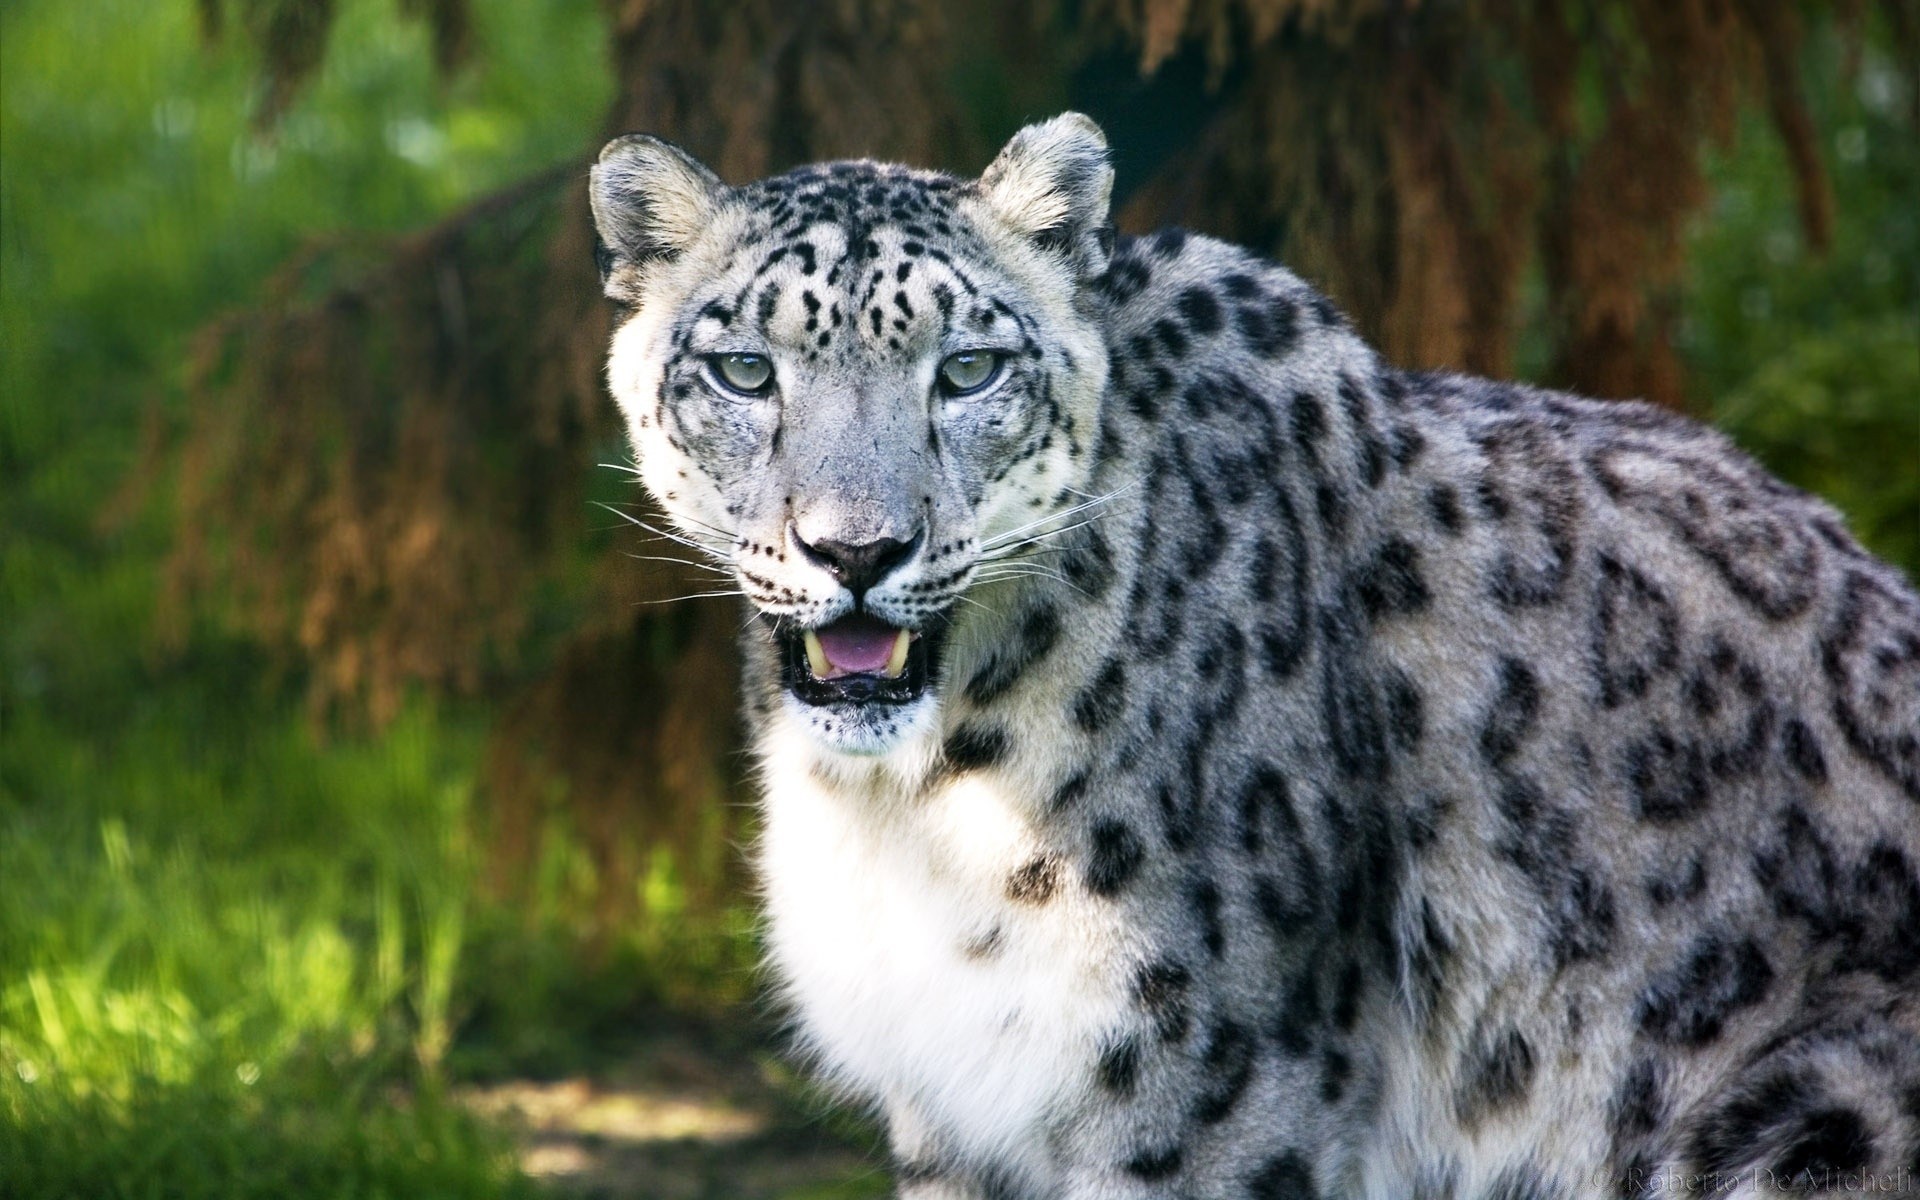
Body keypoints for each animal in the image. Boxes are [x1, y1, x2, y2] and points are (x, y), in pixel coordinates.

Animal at [583, 114, 1920, 1198]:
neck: (909, 812)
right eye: (744, 370)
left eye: (967, 369)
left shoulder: (1193, 1076)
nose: (856, 549)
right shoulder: (948, 1101)